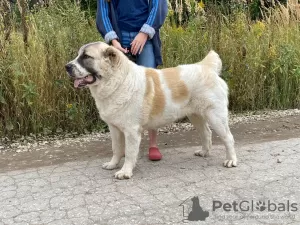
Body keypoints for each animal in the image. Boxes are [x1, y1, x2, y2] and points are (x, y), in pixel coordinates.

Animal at [65, 41, 237, 179]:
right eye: (78, 55)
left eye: (86, 57)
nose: (67, 67)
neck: (117, 81)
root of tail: (205, 66)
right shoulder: (114, 129)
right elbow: (116, 149)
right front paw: (113, 164)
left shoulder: (131, 131)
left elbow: (129, 153)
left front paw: (125, 172)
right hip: (195, 116)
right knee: (206, 133)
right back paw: (204, 152)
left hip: (215, 117)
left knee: (228, 138)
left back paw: (231, 160)